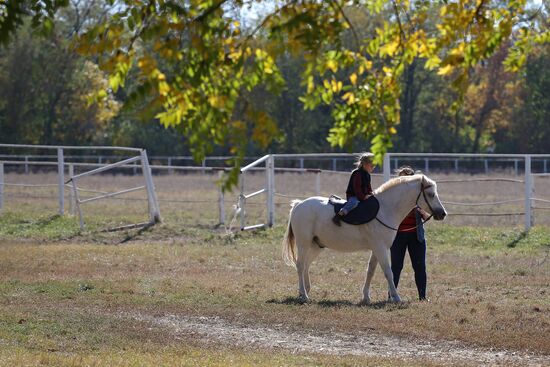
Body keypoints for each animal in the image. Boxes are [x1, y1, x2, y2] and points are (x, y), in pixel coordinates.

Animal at [284, 175, 448, 304]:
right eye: (431, 194)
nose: (443, 213)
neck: (385, 209)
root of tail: (299, 204)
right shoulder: (381, 249)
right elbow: (388, 272)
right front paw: (396, 297)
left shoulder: (376, 249)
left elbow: (370, 271)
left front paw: (366, 297)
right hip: (304, 244)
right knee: (300, 266)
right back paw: (304, 295)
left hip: (316, 246)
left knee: (306, 266)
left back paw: (304, 291)